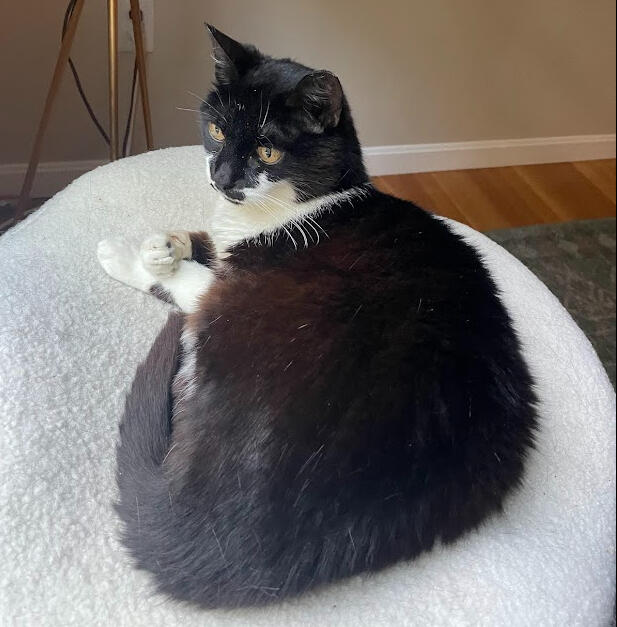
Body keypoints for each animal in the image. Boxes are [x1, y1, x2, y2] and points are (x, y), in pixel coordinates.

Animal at [97, 24, 537, 609]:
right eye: (215, 129)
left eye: (267, 149)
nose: (221, 176)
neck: (304, 204)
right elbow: (207, 239)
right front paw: (164, 242)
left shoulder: (240, 276)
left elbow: (197, 278)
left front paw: (130, 254)